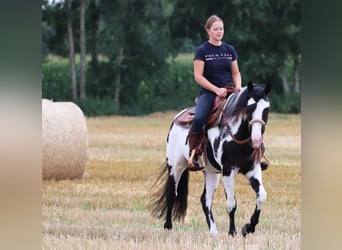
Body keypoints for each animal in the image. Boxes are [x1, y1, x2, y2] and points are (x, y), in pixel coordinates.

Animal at [148, 81, 272, 236]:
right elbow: (231, 203)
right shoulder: (228, 171)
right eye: (249, 108)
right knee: (171, 194)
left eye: (266, 109)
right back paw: (168, 227)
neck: (237, 136)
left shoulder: (252, 169)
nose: (256, 140)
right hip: (175, 166)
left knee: (205, 200)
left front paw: (248, 227)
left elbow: (261, 196)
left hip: (211, 173)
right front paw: (232, 232)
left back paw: (213, 231)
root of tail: (178, 117)